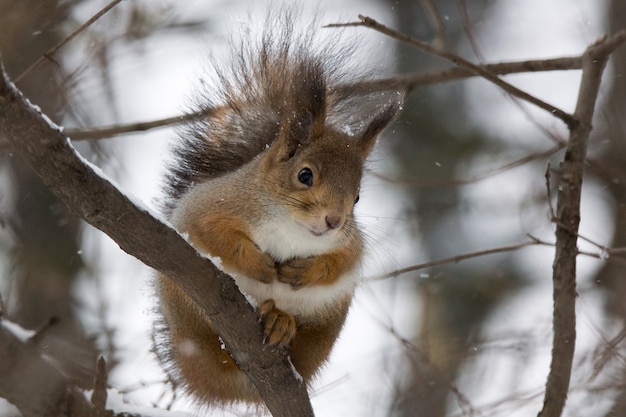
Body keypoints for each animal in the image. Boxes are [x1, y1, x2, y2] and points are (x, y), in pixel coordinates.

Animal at [154, 10, 402, 406]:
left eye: (358, 198)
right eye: (305, 175)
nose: (333, 221)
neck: (290, 226)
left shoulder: (351, 242)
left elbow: (343, 261)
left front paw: (305, 271)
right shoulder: (211, 206)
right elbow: (213, 232)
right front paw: (259, 264)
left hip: (323, 325)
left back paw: (281, 324)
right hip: (186, 306)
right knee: (212, 351)